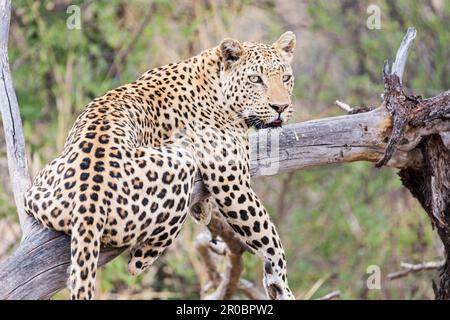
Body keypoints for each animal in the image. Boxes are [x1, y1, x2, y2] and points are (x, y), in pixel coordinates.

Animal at [24, 31, 298, 298]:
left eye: (286, 78)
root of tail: (89, 199)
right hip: (180, 163)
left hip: (40, 190)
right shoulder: (231, 181)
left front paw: (203, 209)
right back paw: (142, 257)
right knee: (137, 260)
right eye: (255, 79)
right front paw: (281, 283)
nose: (281, 107)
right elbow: (268, 237)